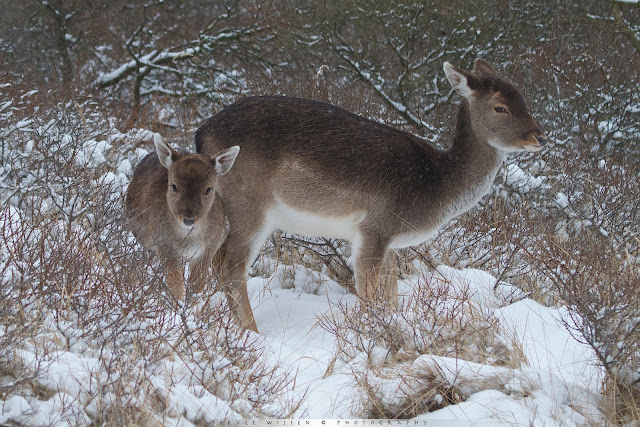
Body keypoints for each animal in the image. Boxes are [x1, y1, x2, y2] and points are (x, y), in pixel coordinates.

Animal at [125, 135, 240, 300]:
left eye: (208, 189)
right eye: (173, 186)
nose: (188, 219)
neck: (190, 240)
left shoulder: (210, 248)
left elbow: (197, 285)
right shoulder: (165, 246)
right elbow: (175, 284)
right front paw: (178, 303)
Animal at [196, 60, 552, 332]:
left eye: (524, 99)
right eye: (500, 107)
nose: (540, 137)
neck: (437, 184)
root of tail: (201, 133)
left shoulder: (393, 243)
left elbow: (392, 294)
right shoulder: (374, 228)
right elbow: (368, 296)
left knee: (213, 259)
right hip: (250, 206)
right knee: (231, 267)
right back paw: (252, 333)